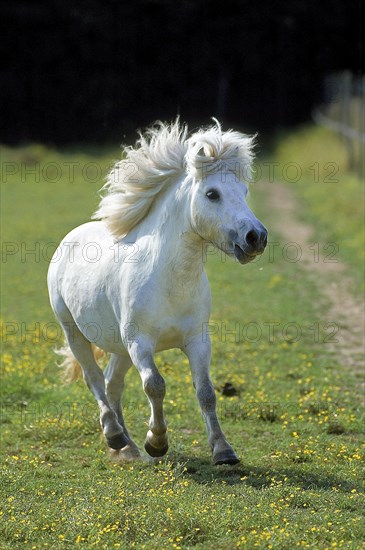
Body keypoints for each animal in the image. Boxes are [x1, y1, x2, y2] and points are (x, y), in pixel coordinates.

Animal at [47, 119, 266, 466]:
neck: (171, 281)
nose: (256, 237)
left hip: (119, 347)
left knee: (112, 383)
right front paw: (157, 442)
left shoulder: (197, 341)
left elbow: (206, 391)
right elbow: (155, 385)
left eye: (243, 191)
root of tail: (73, 235)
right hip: (75, 332)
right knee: (94, 380)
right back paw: (115, 435)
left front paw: (223, 450)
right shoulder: (141, 343)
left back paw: (126, 447)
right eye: (212, 194)